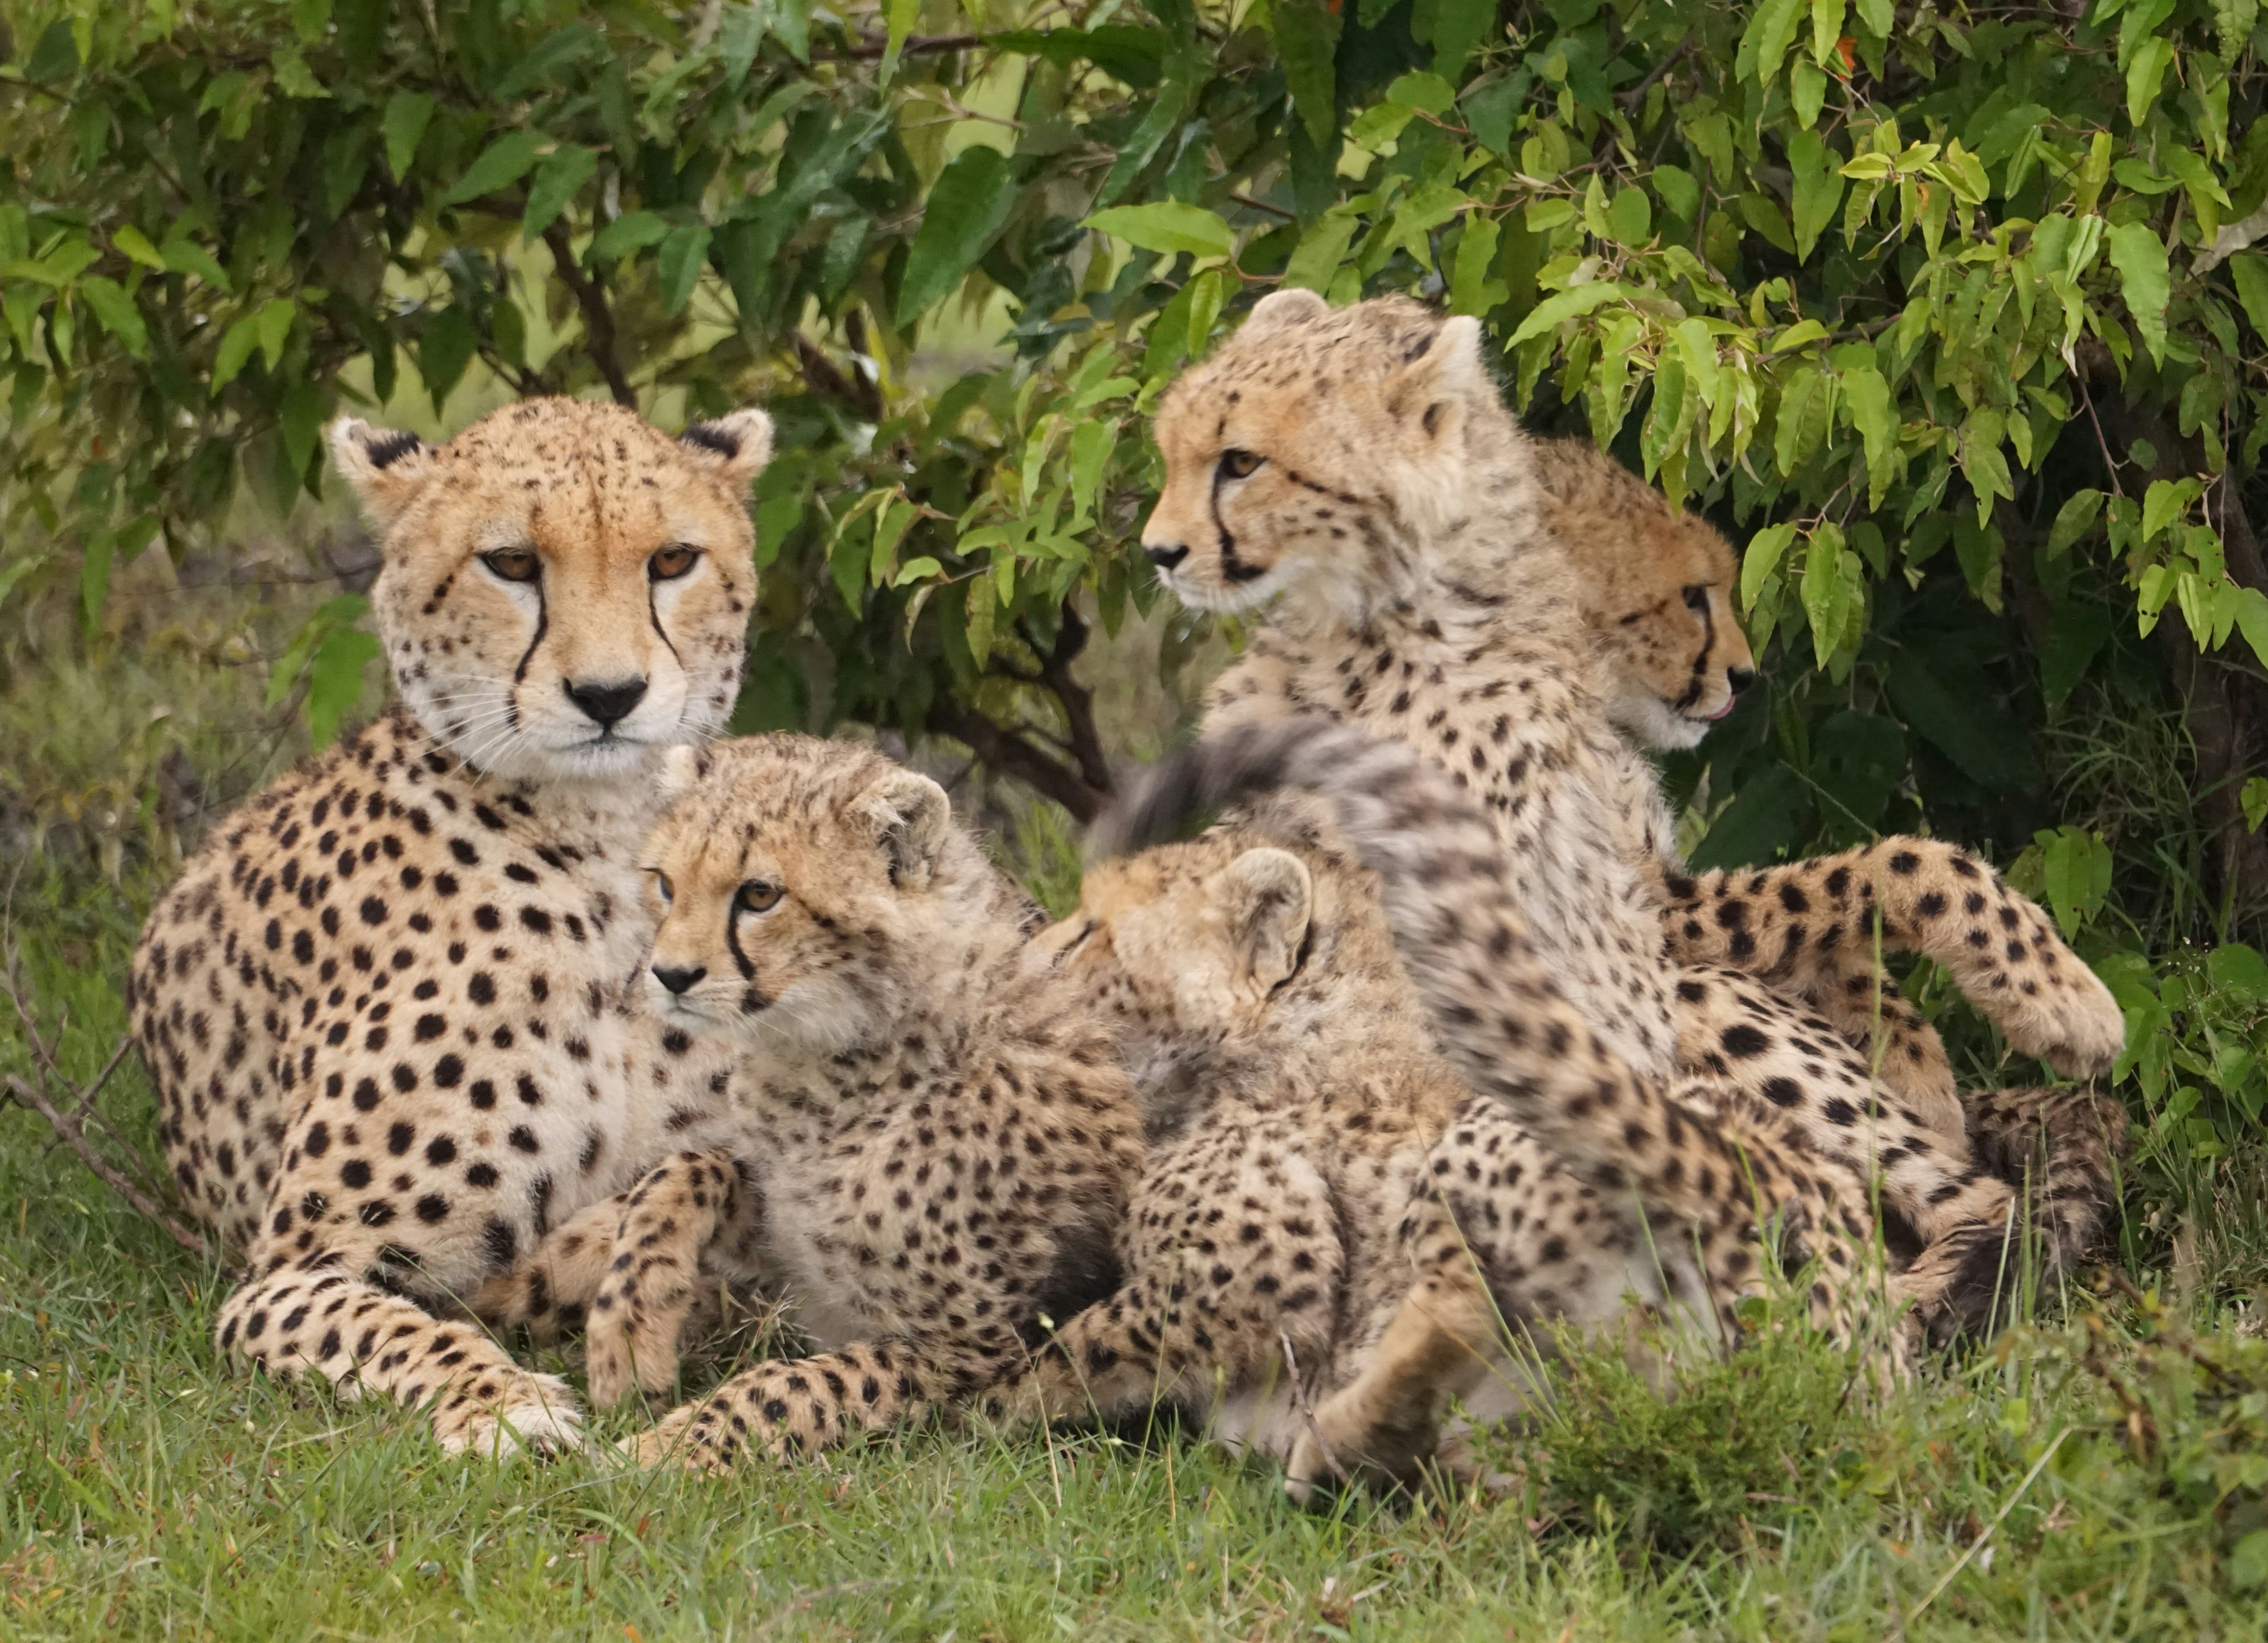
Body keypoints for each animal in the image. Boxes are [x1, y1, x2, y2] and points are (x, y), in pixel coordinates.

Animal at [125, 396, 774, 1455]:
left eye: (672, 560)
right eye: (510, 563)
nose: (610, 696)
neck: (601, 839)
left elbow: (700, 1172)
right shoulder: (291, 1269)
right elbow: (397, 1325)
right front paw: (508, 1402)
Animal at [482, 733, 1147, 1471]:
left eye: (760, 894)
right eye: (666, 885)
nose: (670, 975)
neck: (836, 1057)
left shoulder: (972, 1354)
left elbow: (793, 1387)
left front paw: (662, 1450)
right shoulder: (791, 1239)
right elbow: (689, 1169)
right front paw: (628, 1338)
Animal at [1139, 289, 2124, 1336]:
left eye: (1235, 461)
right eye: (1691, 598)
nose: (1742, 676)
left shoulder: (1650, 886)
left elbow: (1845, 918)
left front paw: (1921, 1063)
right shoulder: (1608, 918)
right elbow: (1889, 866)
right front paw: (2061, 1002)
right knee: (1963, 1202)